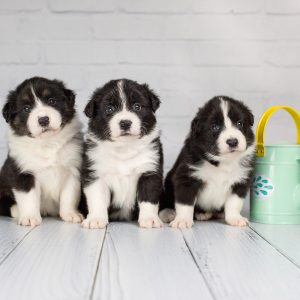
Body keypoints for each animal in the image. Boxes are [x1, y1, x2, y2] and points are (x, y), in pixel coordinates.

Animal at [0, 76, 83, 226]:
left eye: (52, 101)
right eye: (26, 108)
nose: (43, 120)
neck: (47, 143)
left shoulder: (72, 170)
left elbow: (69, 196)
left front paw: (70, 214)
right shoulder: (23, 172)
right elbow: (28, 197)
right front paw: (29, 217)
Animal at [81, 78, 163, 229]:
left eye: (137, 106)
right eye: (109, 109)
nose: (125, 123)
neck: (124, 148)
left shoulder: (149, 171)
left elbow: (148, 198)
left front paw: (150, 219)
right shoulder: (95, 174)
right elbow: (97, 198)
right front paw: (96, 219)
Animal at [159, 96, 255, 227]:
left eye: (239, 123)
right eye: (215, 127)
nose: (232, 142)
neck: (222, 162)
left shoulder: (240, 181)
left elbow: (234, 202)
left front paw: (235, 218)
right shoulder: (187, 177)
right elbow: (185, 202)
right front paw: (182, 220)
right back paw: (169, 213)